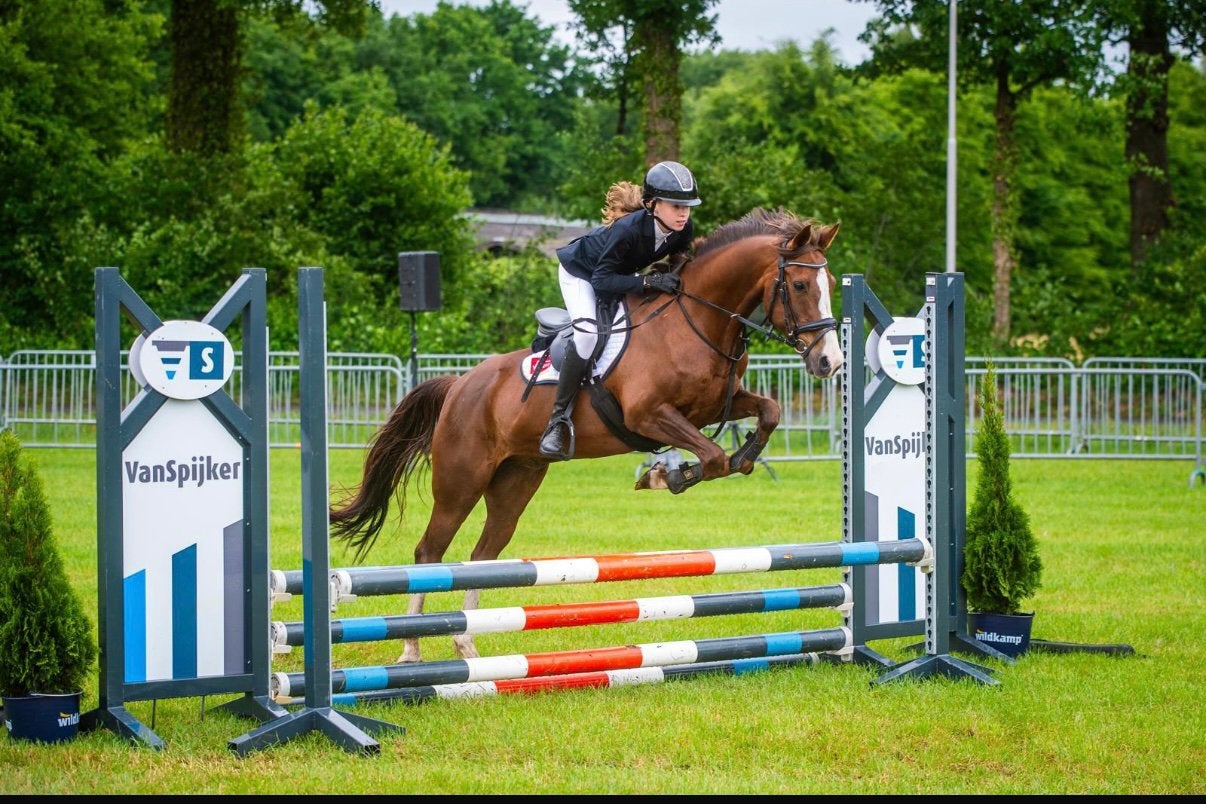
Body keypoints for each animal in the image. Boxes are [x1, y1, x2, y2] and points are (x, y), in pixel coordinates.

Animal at [329, 208, 843, 663]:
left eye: (833, 286)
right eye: (800, 285)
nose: (829, 362)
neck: (696, 322)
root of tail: (459, 384)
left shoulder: (715, 406)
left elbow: (768, 413)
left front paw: (742, 458)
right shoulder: (647, 414)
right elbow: (712, 456)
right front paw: (666, 476)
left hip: (515, 481)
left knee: (481, 555)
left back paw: (467, 646)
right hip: (461, 482)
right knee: (430, 553)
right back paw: (411, 648)